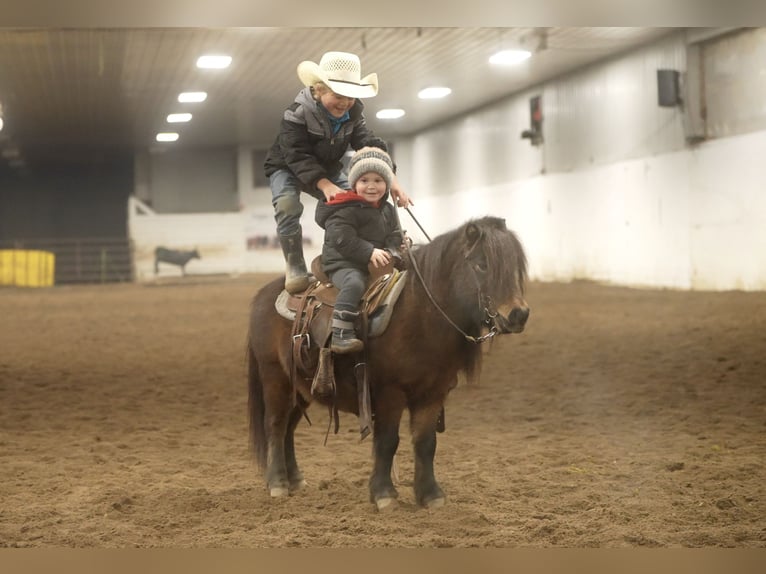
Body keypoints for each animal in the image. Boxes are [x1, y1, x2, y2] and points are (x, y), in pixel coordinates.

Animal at [247, 215, 529, 510]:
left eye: (514, 265)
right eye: (481, 264)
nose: (518, 314)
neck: (419, 316)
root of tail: (264, 294)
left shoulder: (433, 393)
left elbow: (426, 442)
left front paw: (431, 494)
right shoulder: (390, 393)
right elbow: (388, 441)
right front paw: (384, 494)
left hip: (300, 387)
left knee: (289, 427)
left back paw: (296, 479)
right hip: (275, 378)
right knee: (276, 424)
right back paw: (278, 483)